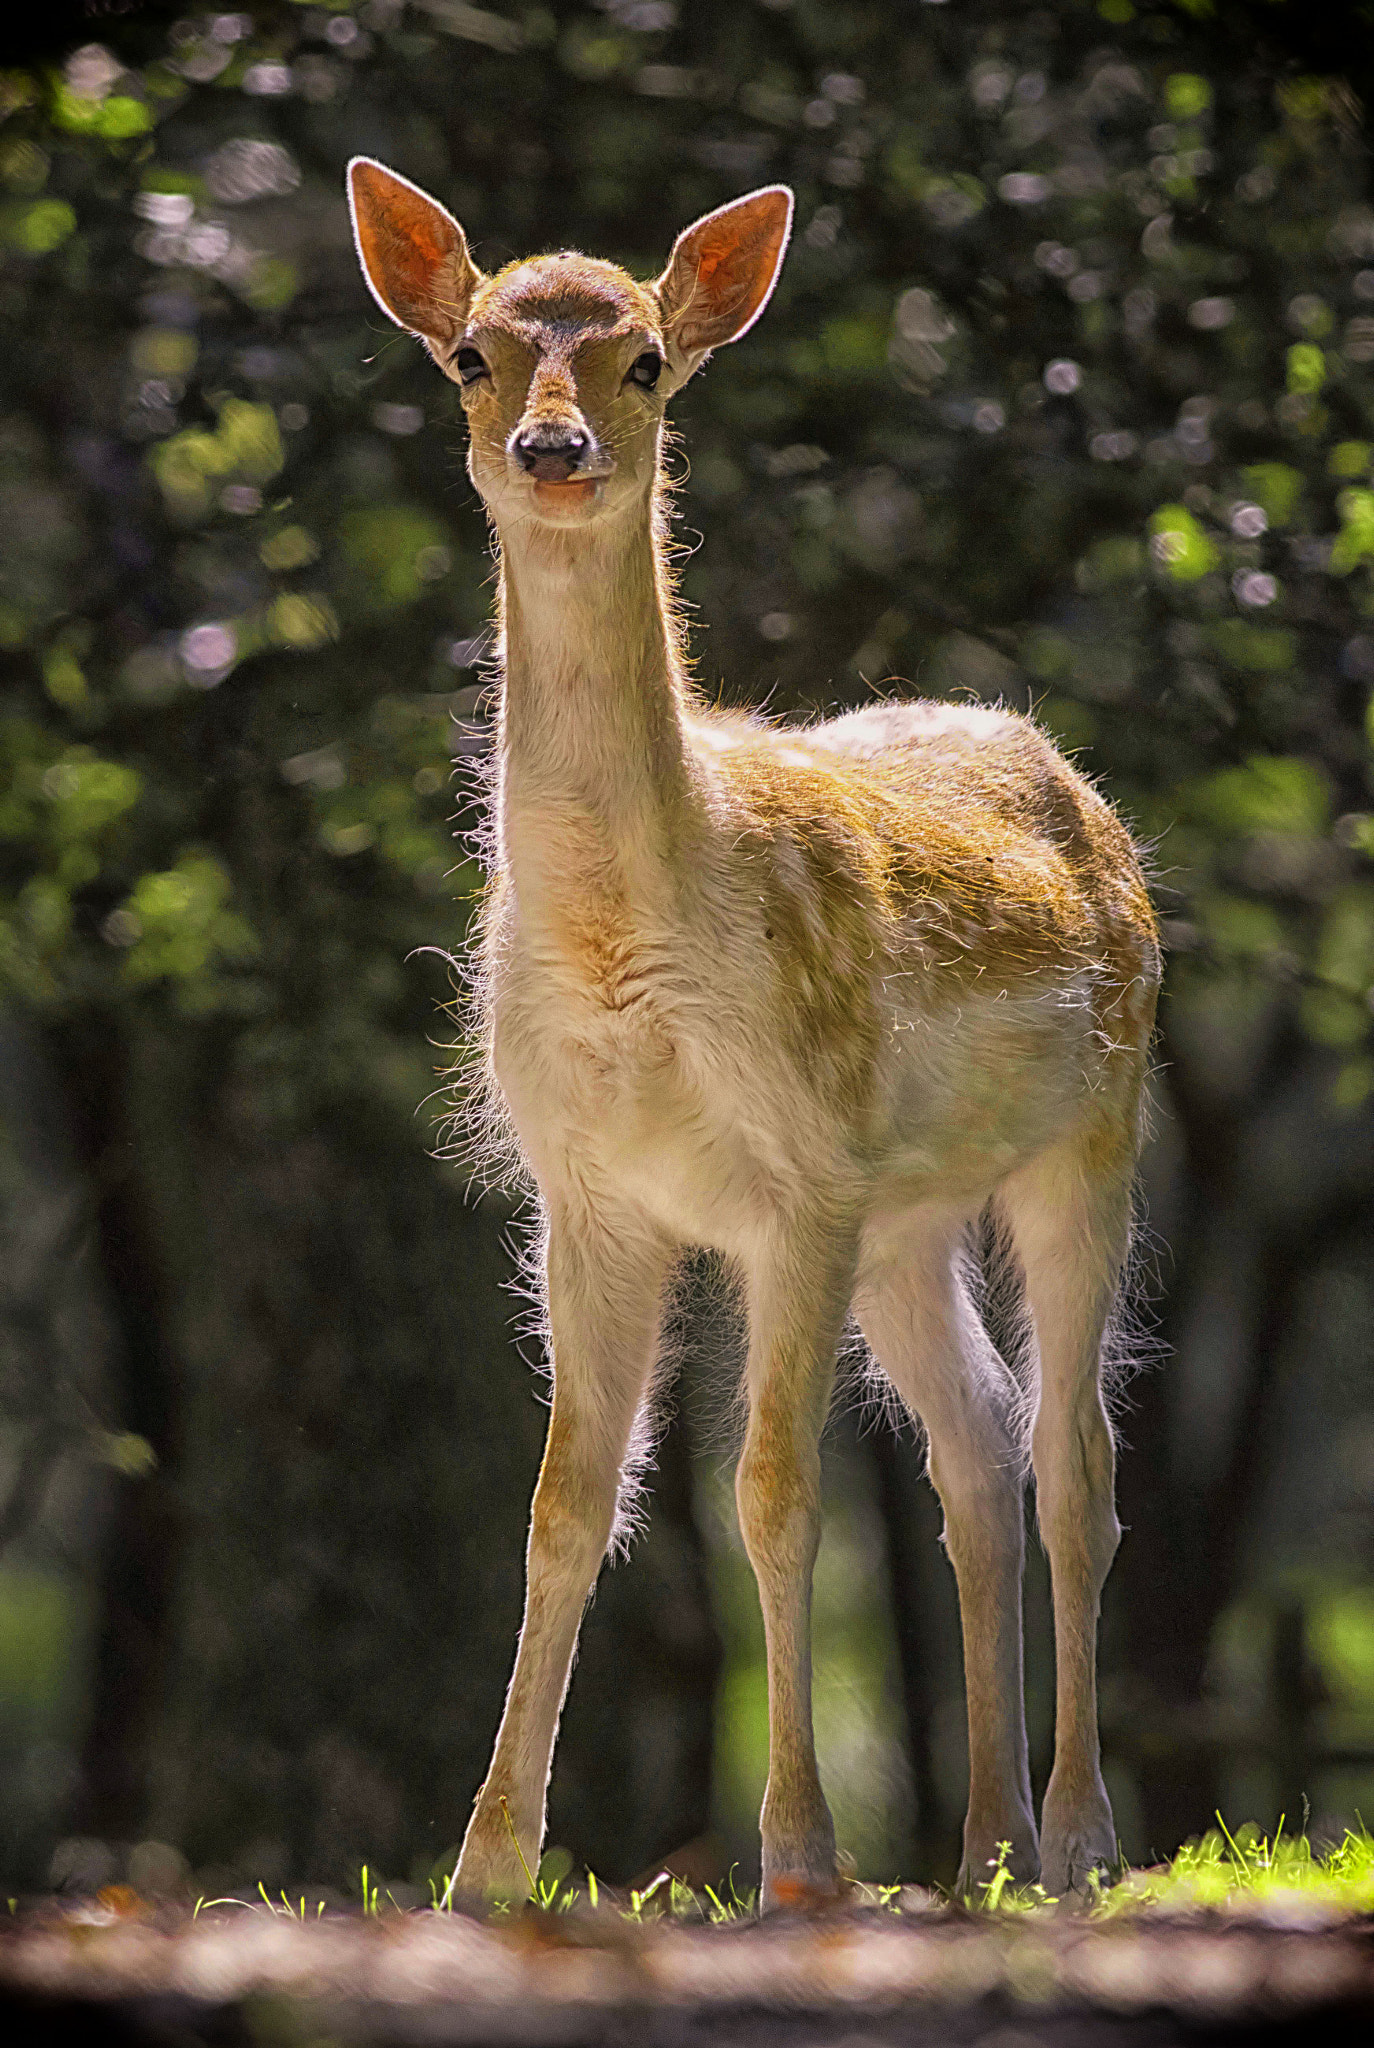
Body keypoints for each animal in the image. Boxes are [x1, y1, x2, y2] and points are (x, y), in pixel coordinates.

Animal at [346, 155, 1163, 1900]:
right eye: (471, 356)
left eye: (648, 358)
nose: (554, 448)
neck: (633, 945)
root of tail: (1075, 785)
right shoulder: (587, 1189)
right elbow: (565, 1501)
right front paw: (485, 1867)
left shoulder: (799, 1169)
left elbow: (772, 1494)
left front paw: (796, 1857)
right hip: (907, 1215)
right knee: (978, 1453)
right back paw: (981, 1847)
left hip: (1091, 1133)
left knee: (1077, 1464)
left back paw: (1075, 1840)